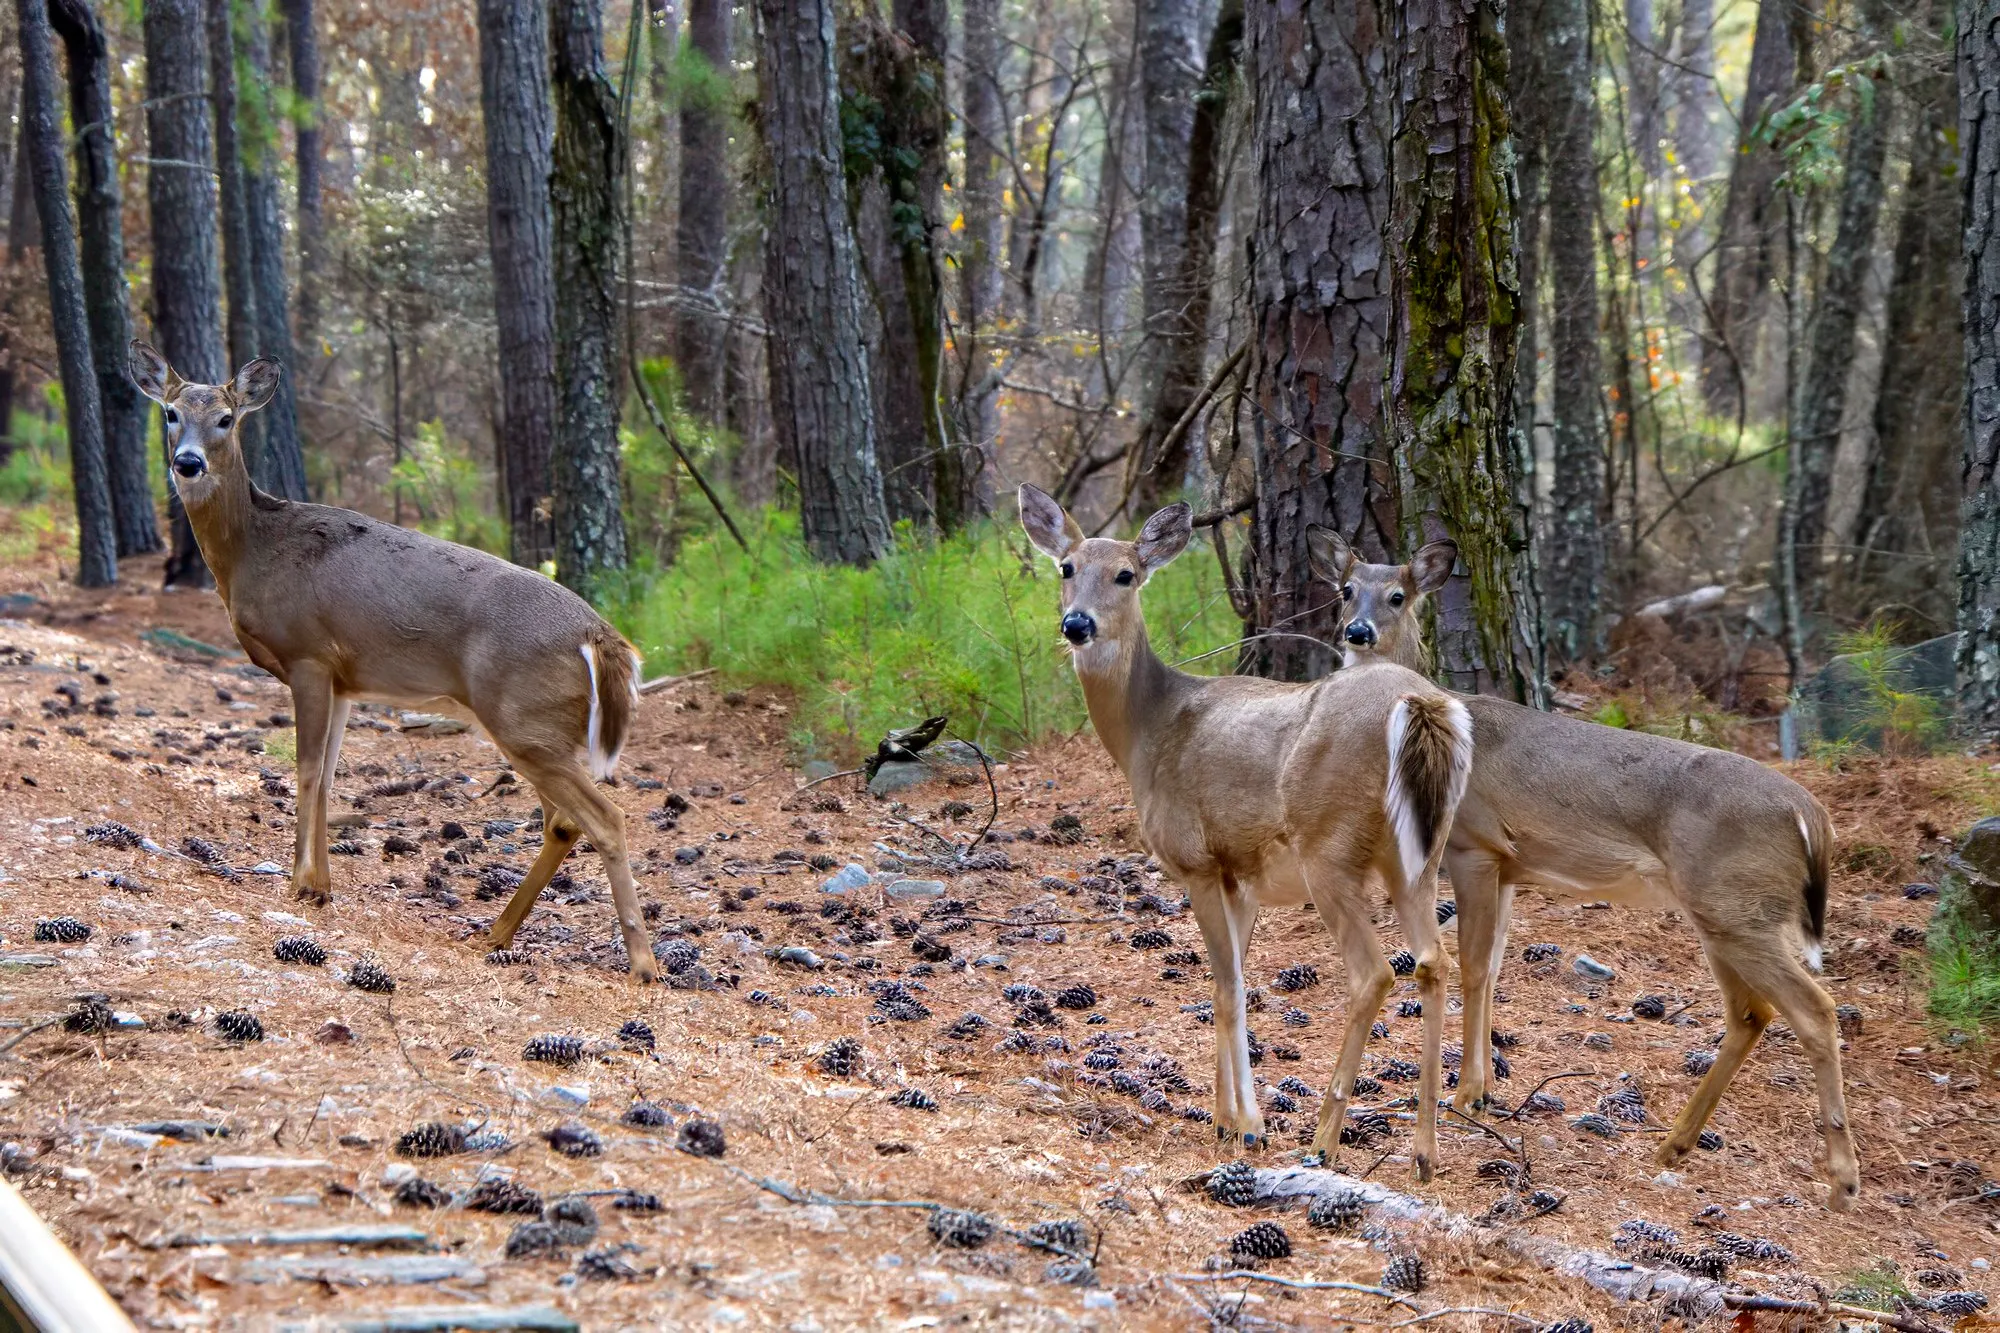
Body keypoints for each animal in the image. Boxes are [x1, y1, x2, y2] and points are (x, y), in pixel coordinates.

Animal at [127, 343, 659, 982]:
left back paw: (642, 963)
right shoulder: (344, 680)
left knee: (603, 817)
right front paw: (320, 884)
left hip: (523, 720)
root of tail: (600, 635)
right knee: (562, 821)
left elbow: (306, 771)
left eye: (227, 419)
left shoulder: (308, 654)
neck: (254, 550)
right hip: (536, 728)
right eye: (171, 413)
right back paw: (496, 933)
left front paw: (300, 884)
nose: (187, 463)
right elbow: (330, 775)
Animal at [1018, 486, 1473, 1180]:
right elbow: (1229, 982)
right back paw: (1424, 1152)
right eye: (1066, 567)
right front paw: (1226, 1116)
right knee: (1433, 962)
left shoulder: (1198, 860)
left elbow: (1229, 988)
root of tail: (1421, 706)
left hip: (1329, 848)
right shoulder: (1243, 876)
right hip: (1417, 855)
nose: (1077, 624)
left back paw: (1323, 1139)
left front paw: (1244, 1126)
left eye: (1126, 574)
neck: (1147, 730)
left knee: (1374, 972)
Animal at [1308, 526, 1859, 1209]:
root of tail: (1812, 817)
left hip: (1739, 909)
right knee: (1751, 1013)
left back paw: (1842, 1181)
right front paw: (1486, 1090)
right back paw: (1673, 1145)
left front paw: (1465, 1094)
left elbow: (1472, 968)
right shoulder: (1511, 866)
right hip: (1725, 913)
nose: (1357, 631)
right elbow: (1494, 969)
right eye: (1345, 588)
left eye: (1397, 595)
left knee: (1814, 1010)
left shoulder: (1474, 846)